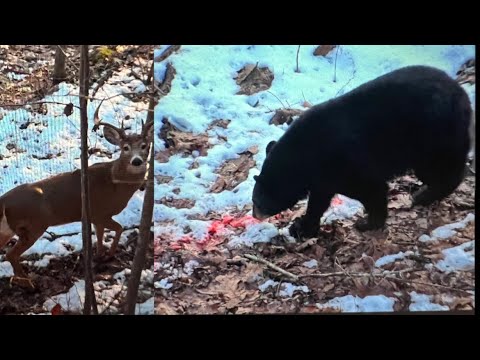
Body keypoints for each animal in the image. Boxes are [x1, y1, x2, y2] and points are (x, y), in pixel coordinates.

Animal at [0, 116, 153, 288]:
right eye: (125, 148)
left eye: (144, 146)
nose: (137, 161)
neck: (116, 183)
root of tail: (3, 200)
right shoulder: (99, 212)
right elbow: (119, 228)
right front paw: (108, 255)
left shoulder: (96, 217)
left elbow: (101, 235)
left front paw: (100, 256)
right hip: (33, 226)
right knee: (11, 254)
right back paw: (29, 283)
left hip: (8, 228)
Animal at [251, 64, 472, 239]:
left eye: (257, 202)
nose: (254, 215)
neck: (304, 157)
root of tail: (462, 93)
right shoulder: (323, 178)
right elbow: (318, 201)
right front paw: (301, 228)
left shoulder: (344, 163)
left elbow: (372, 189)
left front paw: (367, 223)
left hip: (432, 136)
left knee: (442, 169)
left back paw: (424, 195)